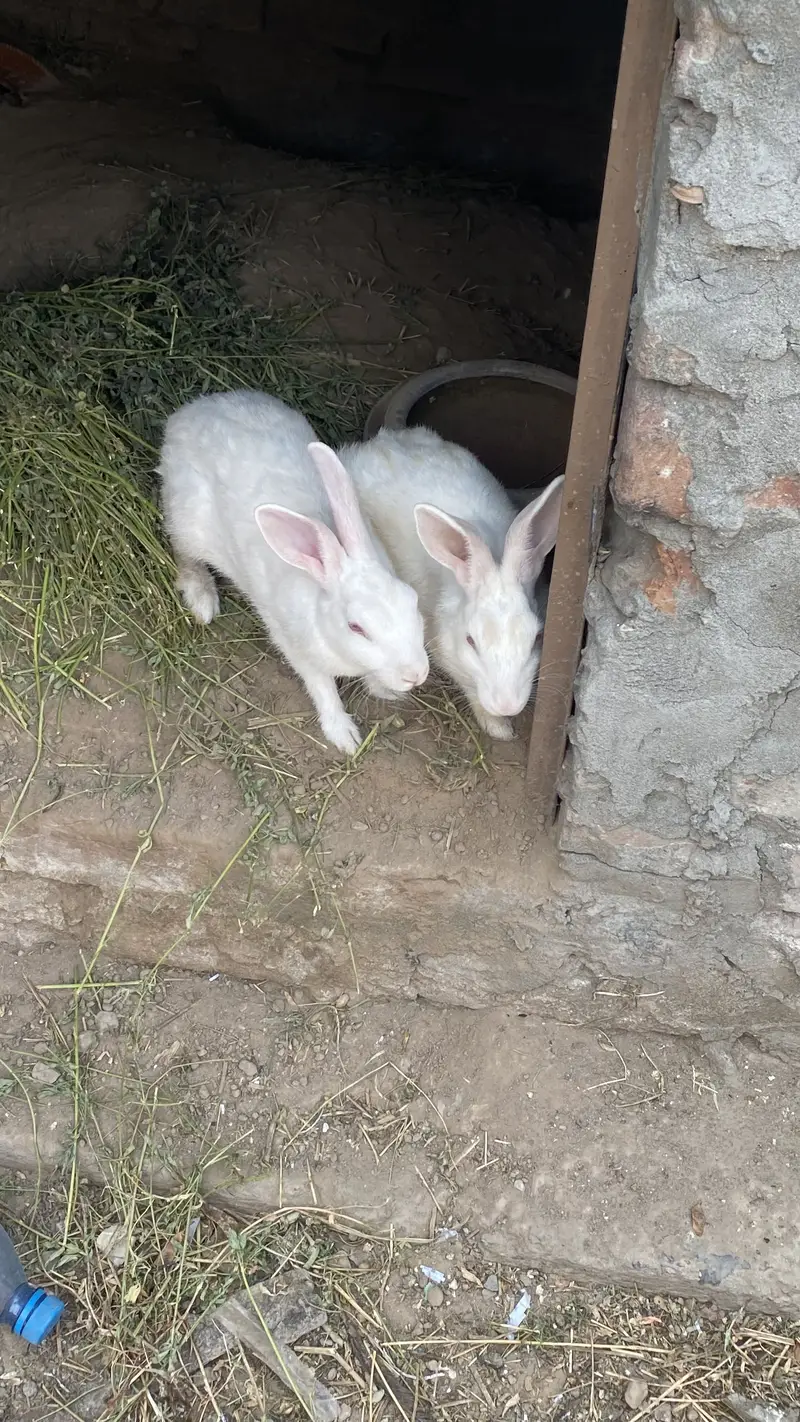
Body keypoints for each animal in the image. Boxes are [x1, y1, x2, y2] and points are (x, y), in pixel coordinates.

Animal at [158, 390, 429, 754]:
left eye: (412, 602)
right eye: (356, 627)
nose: (416, 675)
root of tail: (186, 413)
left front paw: (386, 690)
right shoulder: (298, 649)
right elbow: (322, 688)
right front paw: (344, 736)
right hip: (188, 524)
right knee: (185, 554)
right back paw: (202, 600)